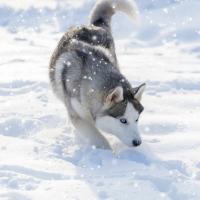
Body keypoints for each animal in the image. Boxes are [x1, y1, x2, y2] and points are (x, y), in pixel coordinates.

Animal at [48, 0, 145, 148]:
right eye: (123, 120)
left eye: (136, 119)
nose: (137, 142)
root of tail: (94, 25)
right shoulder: (78, 117)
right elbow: (99, 138)